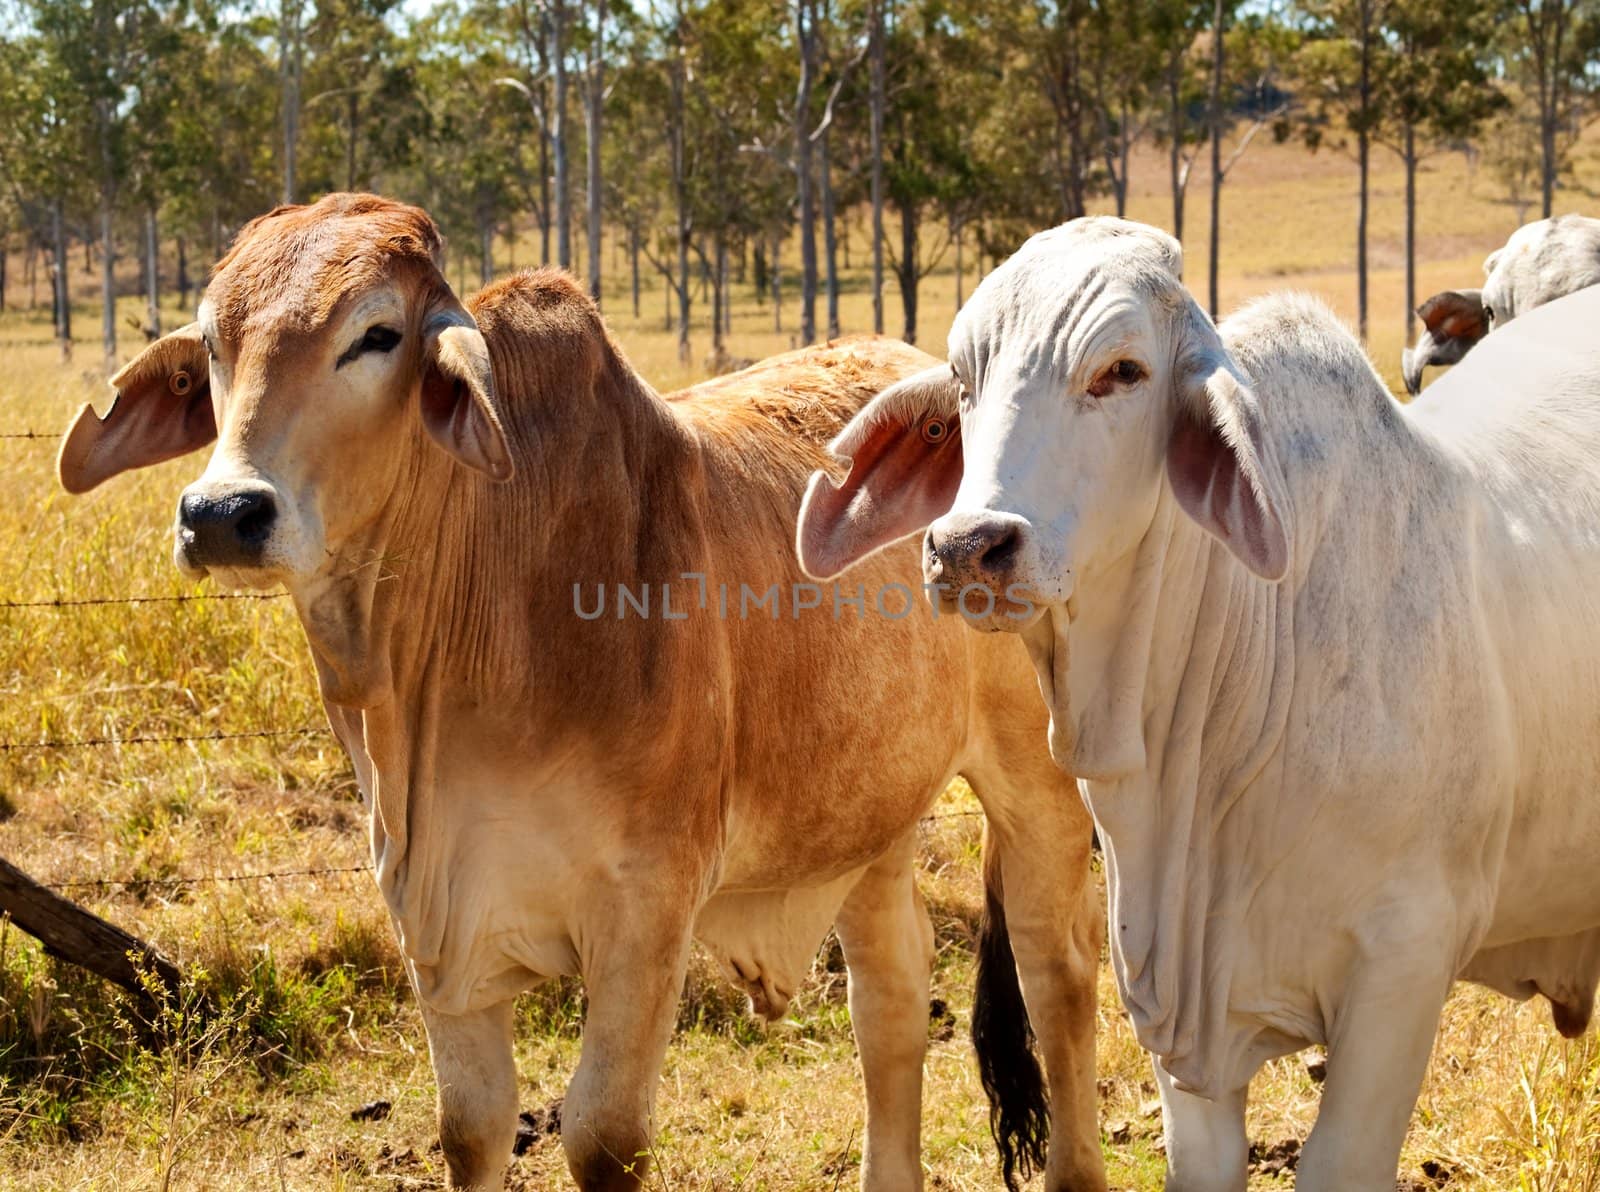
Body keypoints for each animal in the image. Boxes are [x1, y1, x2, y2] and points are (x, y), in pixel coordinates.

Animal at [56, 195, 1107, 1190]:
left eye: (376, 334)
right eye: (214, 343)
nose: (221, 513)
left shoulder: (646, 917)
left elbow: (603, 1139)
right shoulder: (437, 928)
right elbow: (471, 1130)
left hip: (1038, 783)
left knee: (1058, 978)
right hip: (863, 820)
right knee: (890, 999)